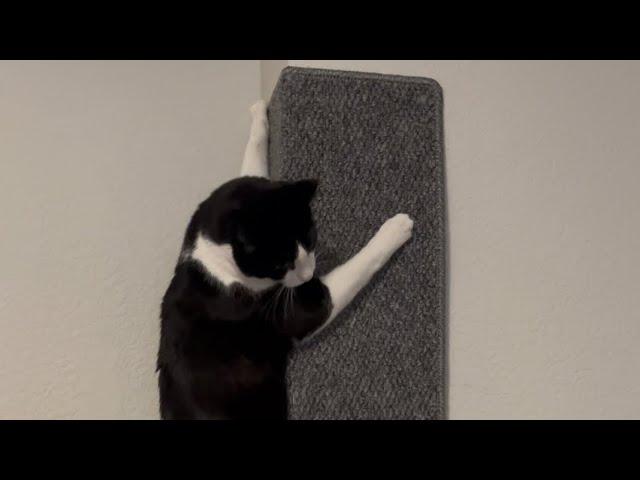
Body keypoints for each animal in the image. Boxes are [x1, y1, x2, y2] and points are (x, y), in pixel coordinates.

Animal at [158, 99, 412, 418]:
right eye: (279, 265)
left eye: (312, 238)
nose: (307, 274)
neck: (213, 253)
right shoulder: (302, 306)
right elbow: (360, 265)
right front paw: (396, 228)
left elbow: (253, 162)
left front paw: (258, 114)